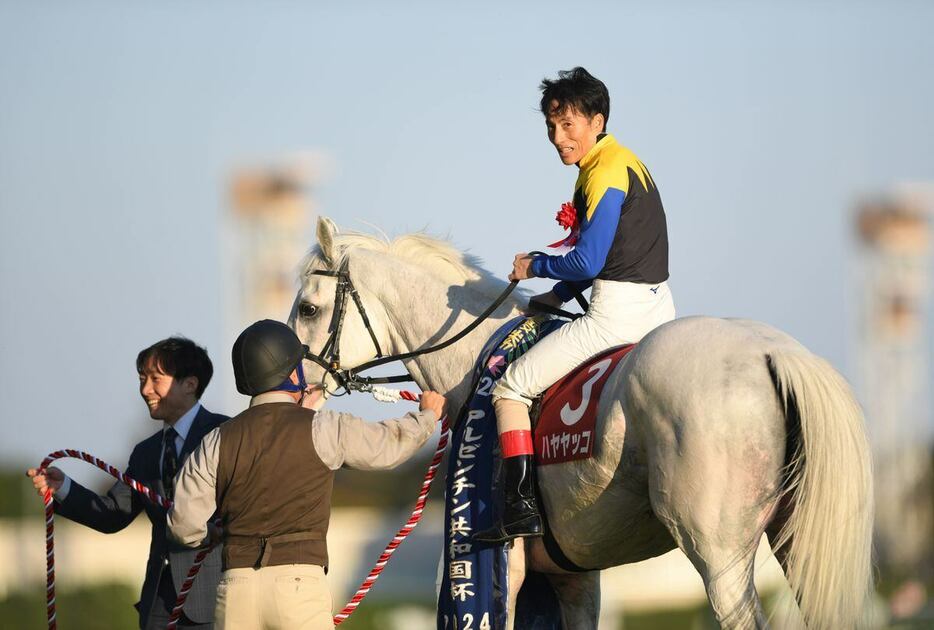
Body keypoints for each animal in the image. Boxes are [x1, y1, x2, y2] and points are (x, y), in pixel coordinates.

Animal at [292, 218, 876, 630]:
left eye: (308, 308)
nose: (299, 382)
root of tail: (774, 352)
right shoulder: (574, 578)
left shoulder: (509, 569)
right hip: (797, 547)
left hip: (720, 557)